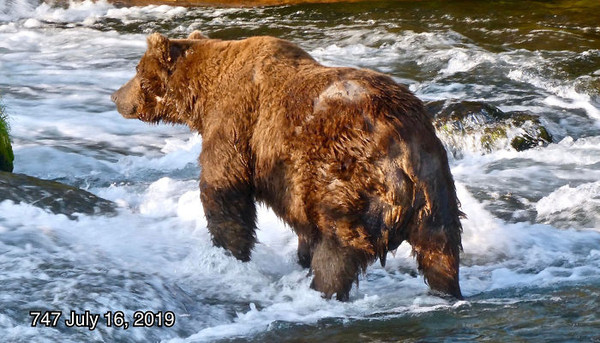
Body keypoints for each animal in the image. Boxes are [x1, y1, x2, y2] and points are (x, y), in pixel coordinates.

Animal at [111, 31, 464, 300]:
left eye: (137, 70)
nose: (115, 96)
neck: (202, 96)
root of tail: (404, 145)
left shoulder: (235, 123)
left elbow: (224, 190)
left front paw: (227, 256)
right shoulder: (295, 181)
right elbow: (303, 226)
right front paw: (298, 256)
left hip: (352, 178)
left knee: (338, 247)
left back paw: (323, 291)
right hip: (436, 189)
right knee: (441, 249)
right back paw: (447, 290)